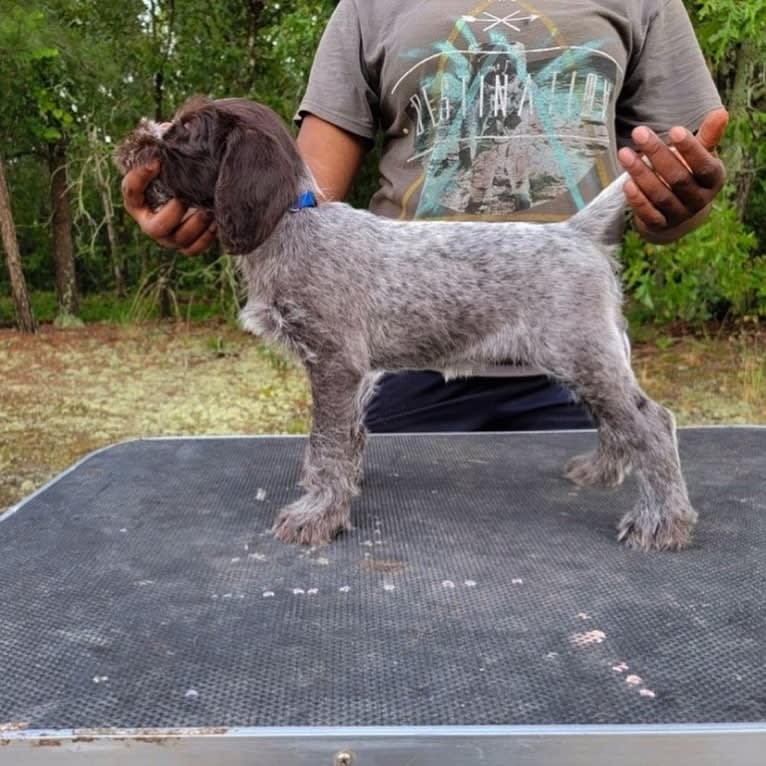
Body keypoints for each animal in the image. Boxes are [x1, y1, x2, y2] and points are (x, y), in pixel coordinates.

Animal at [117, 97, 700, 552]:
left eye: (185, 132)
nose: (133, 141)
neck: (291, 224)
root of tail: (575, 233)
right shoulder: (351, 375)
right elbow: (346, 441)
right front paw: (339, 495)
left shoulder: (335, 364)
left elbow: (325, 446)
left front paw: (316, 516)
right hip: (590, 356)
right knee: (621, 420)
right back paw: (603, 471)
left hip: (580, 352)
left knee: (652, 423)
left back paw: (662, 522)